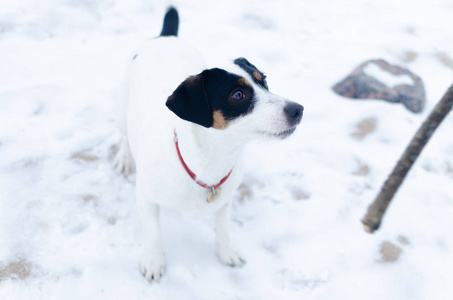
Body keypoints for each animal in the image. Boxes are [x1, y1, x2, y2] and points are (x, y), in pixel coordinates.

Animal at [114, 7, 304, 282]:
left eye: (265, 82)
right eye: (238, 95)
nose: (298, 110)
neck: (209, 160)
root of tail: (167, 35)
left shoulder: (225, 199)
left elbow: (223, 227)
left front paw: (227, 251)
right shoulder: (146, 197)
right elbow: (153, 231)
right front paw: (153, 260)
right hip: (122, 107)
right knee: (124, 136)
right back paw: (125, 158)